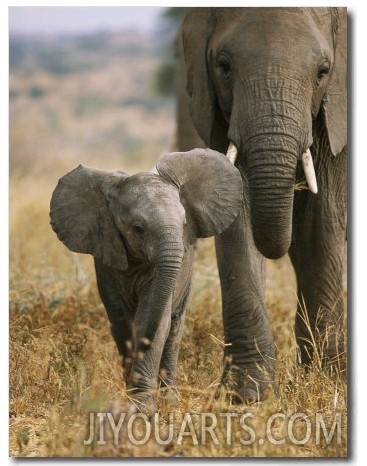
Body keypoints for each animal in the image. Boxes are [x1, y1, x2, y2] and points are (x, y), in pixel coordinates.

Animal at [49, 148, 244, 412]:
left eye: (185, 224)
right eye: (138, 228)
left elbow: (152, 317)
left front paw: (143, 407)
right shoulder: (107, 257)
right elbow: (121, 322)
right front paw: (135, 400)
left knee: (174, 329)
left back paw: (169, 400)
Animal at [181, 7, 348, 400]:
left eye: (323, 71)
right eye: (224, 65)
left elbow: (321, 225)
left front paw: (329, 386)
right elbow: (236, 220)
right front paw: (245, 395)